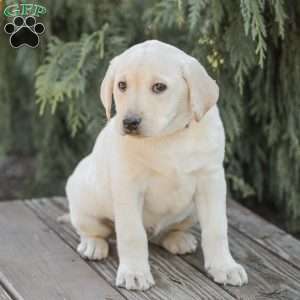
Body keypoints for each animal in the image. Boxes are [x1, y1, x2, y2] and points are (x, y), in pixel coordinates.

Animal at [66, 39, 248, 290]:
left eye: (159, 87)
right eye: (121, 85)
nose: (129, 122)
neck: (168, 137)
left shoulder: (211, 181)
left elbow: (216, 229)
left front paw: (225, 266)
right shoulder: (128, 187)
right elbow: (132, 234)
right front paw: (134, 272)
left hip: (190, 212)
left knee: (165, 233)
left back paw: (177, 238)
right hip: (84, 199)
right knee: (95, 230)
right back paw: (93, 245)